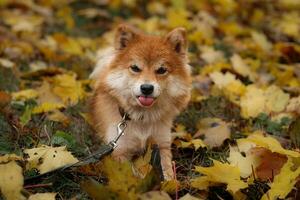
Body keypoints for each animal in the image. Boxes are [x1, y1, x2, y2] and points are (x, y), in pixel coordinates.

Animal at [90, 23, 191, 180]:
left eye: (161, 70)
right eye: (135, 68)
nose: (147, 88)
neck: (142, 117)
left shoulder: (162, 143)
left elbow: (166, 169)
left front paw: (169, 182)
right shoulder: (119, 150)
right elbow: (132, 174)